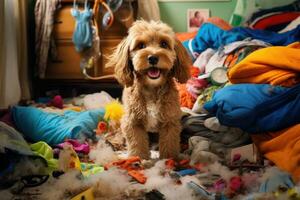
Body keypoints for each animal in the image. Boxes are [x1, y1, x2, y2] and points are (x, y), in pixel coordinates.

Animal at [106, 19, 191, 159]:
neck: (152, 89)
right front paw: (139, 159)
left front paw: (169, 159)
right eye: (141, 45)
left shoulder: (170, 122)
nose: (153, 57)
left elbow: (169, 144)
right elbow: (137, 144)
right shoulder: (133, 123)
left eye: (164, 44)